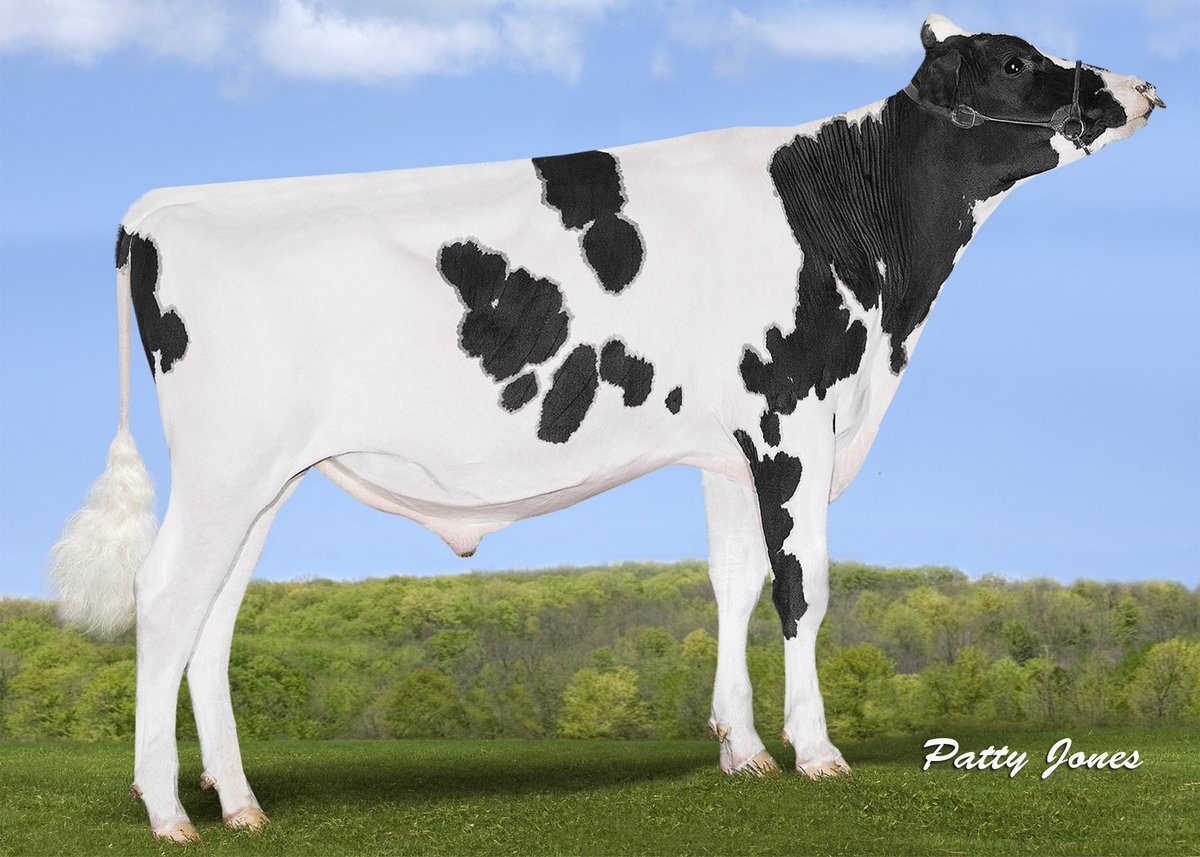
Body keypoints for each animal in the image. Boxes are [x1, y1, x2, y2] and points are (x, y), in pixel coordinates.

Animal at [48, 13, 1162, 844]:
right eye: (1016, 61)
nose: (1143, 88)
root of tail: (156, 210)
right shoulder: (794, 418)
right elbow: (803, 588)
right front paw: (816, 752)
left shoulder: (730, 447)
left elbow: (733, 581)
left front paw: (741, 748)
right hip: (225, 468)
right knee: (165, 594)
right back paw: (166, 808)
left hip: (262, 478)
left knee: (212, 614)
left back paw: (238, 802)